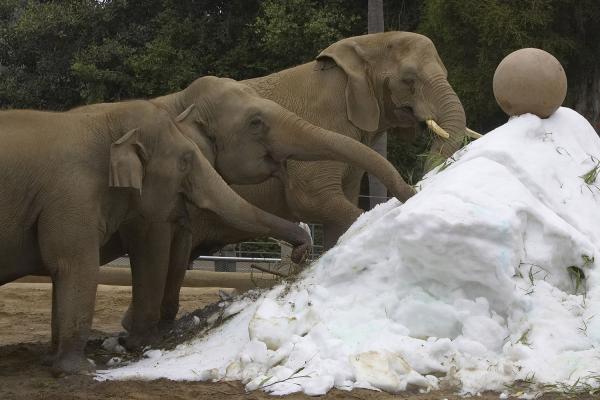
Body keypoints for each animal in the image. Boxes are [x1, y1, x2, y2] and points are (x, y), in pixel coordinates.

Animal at [0, 100, 316, 376]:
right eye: (186, 160)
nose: (302, 250)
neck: (105, 121)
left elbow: (63, 271)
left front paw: (52, 361)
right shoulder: (72, 193)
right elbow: (74, 265)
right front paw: (79, 369)